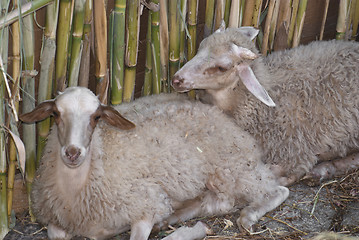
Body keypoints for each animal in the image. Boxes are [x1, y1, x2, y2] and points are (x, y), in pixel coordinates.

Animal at [20, 86, 290, 240]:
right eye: (55, 114)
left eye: (96, 117)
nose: (73, 153)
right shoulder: (55, 221)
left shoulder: (147, 204)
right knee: (215, 203)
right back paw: (173, 218)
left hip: (233, 169)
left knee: (276, 191)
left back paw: (248, 216)